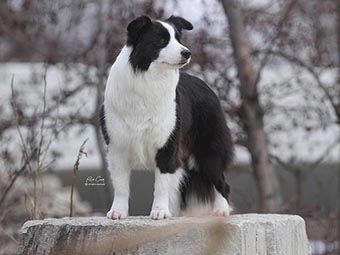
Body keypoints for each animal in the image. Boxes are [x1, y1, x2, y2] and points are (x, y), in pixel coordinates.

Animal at [101, 15, 234, 219]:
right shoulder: (117, 147)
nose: (187, 53)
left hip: (208, 153)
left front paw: (160, 212)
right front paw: (118, 212)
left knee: (221, 182)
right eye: (162, 40)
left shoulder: (168, 145)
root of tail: (208, 88)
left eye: (178, 39)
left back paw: (221, 210)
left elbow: (162, 185)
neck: (149, 79)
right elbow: (121, 186)